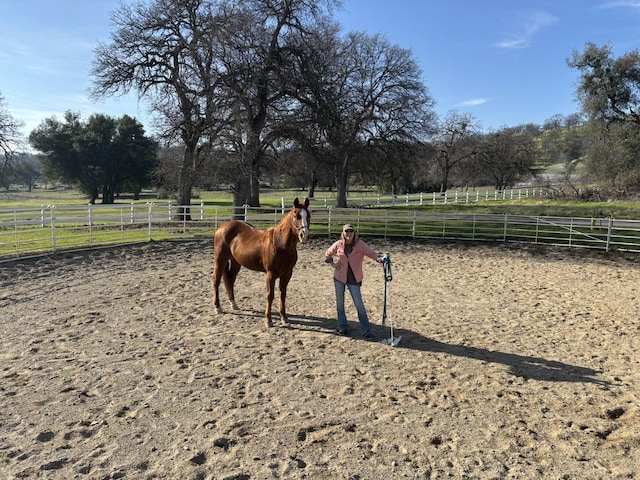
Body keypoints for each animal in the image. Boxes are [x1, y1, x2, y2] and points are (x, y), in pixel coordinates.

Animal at [212, 197, 310, 328]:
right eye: (296, 216)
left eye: (308, 215)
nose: (305, 236)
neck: (280, 243)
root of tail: (222, 227)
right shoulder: (270, 274)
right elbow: (270, 295)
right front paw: (268, 320)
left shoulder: (287, 273)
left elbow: (282, 294)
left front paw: (284, 318)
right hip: (220, 259)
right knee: (216, 280)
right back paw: (218, 308)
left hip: (236, 262)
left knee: (229, 279)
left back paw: (233, 304)